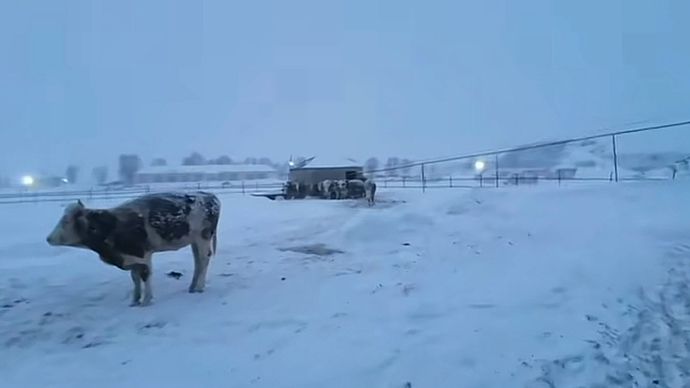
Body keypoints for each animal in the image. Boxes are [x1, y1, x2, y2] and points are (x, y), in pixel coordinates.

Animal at [45, 191, 220, 306]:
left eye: (66, 221)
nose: (48, 238)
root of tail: (208, 195)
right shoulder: (131, 259)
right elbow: (135, 278)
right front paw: (135, 300)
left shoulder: (143, 255)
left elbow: (145, 276)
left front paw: (146, 301)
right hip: (194, 241)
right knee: (198, 262)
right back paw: (192, 287)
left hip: (203, 238)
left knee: (203, 260)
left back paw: (199, 287)